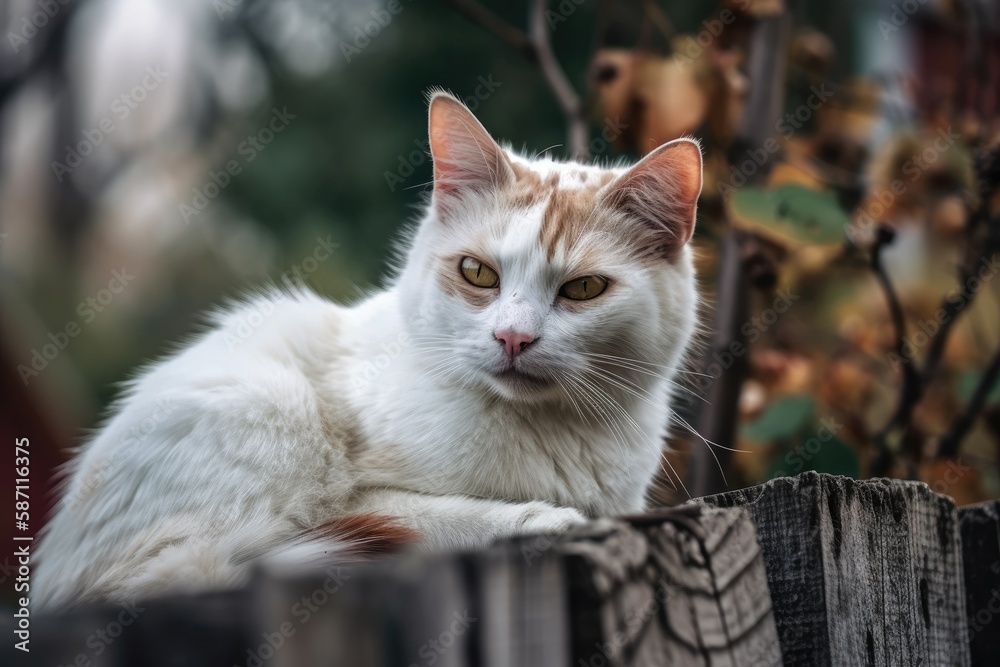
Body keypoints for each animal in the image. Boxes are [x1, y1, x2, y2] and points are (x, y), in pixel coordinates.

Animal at [31, 92, 704, 612]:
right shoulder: (358, 501)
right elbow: (449, 517)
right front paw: (544, 519)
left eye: (584, 288)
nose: (512, 338)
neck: (547, 429)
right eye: (478, 273)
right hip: (266, 409)